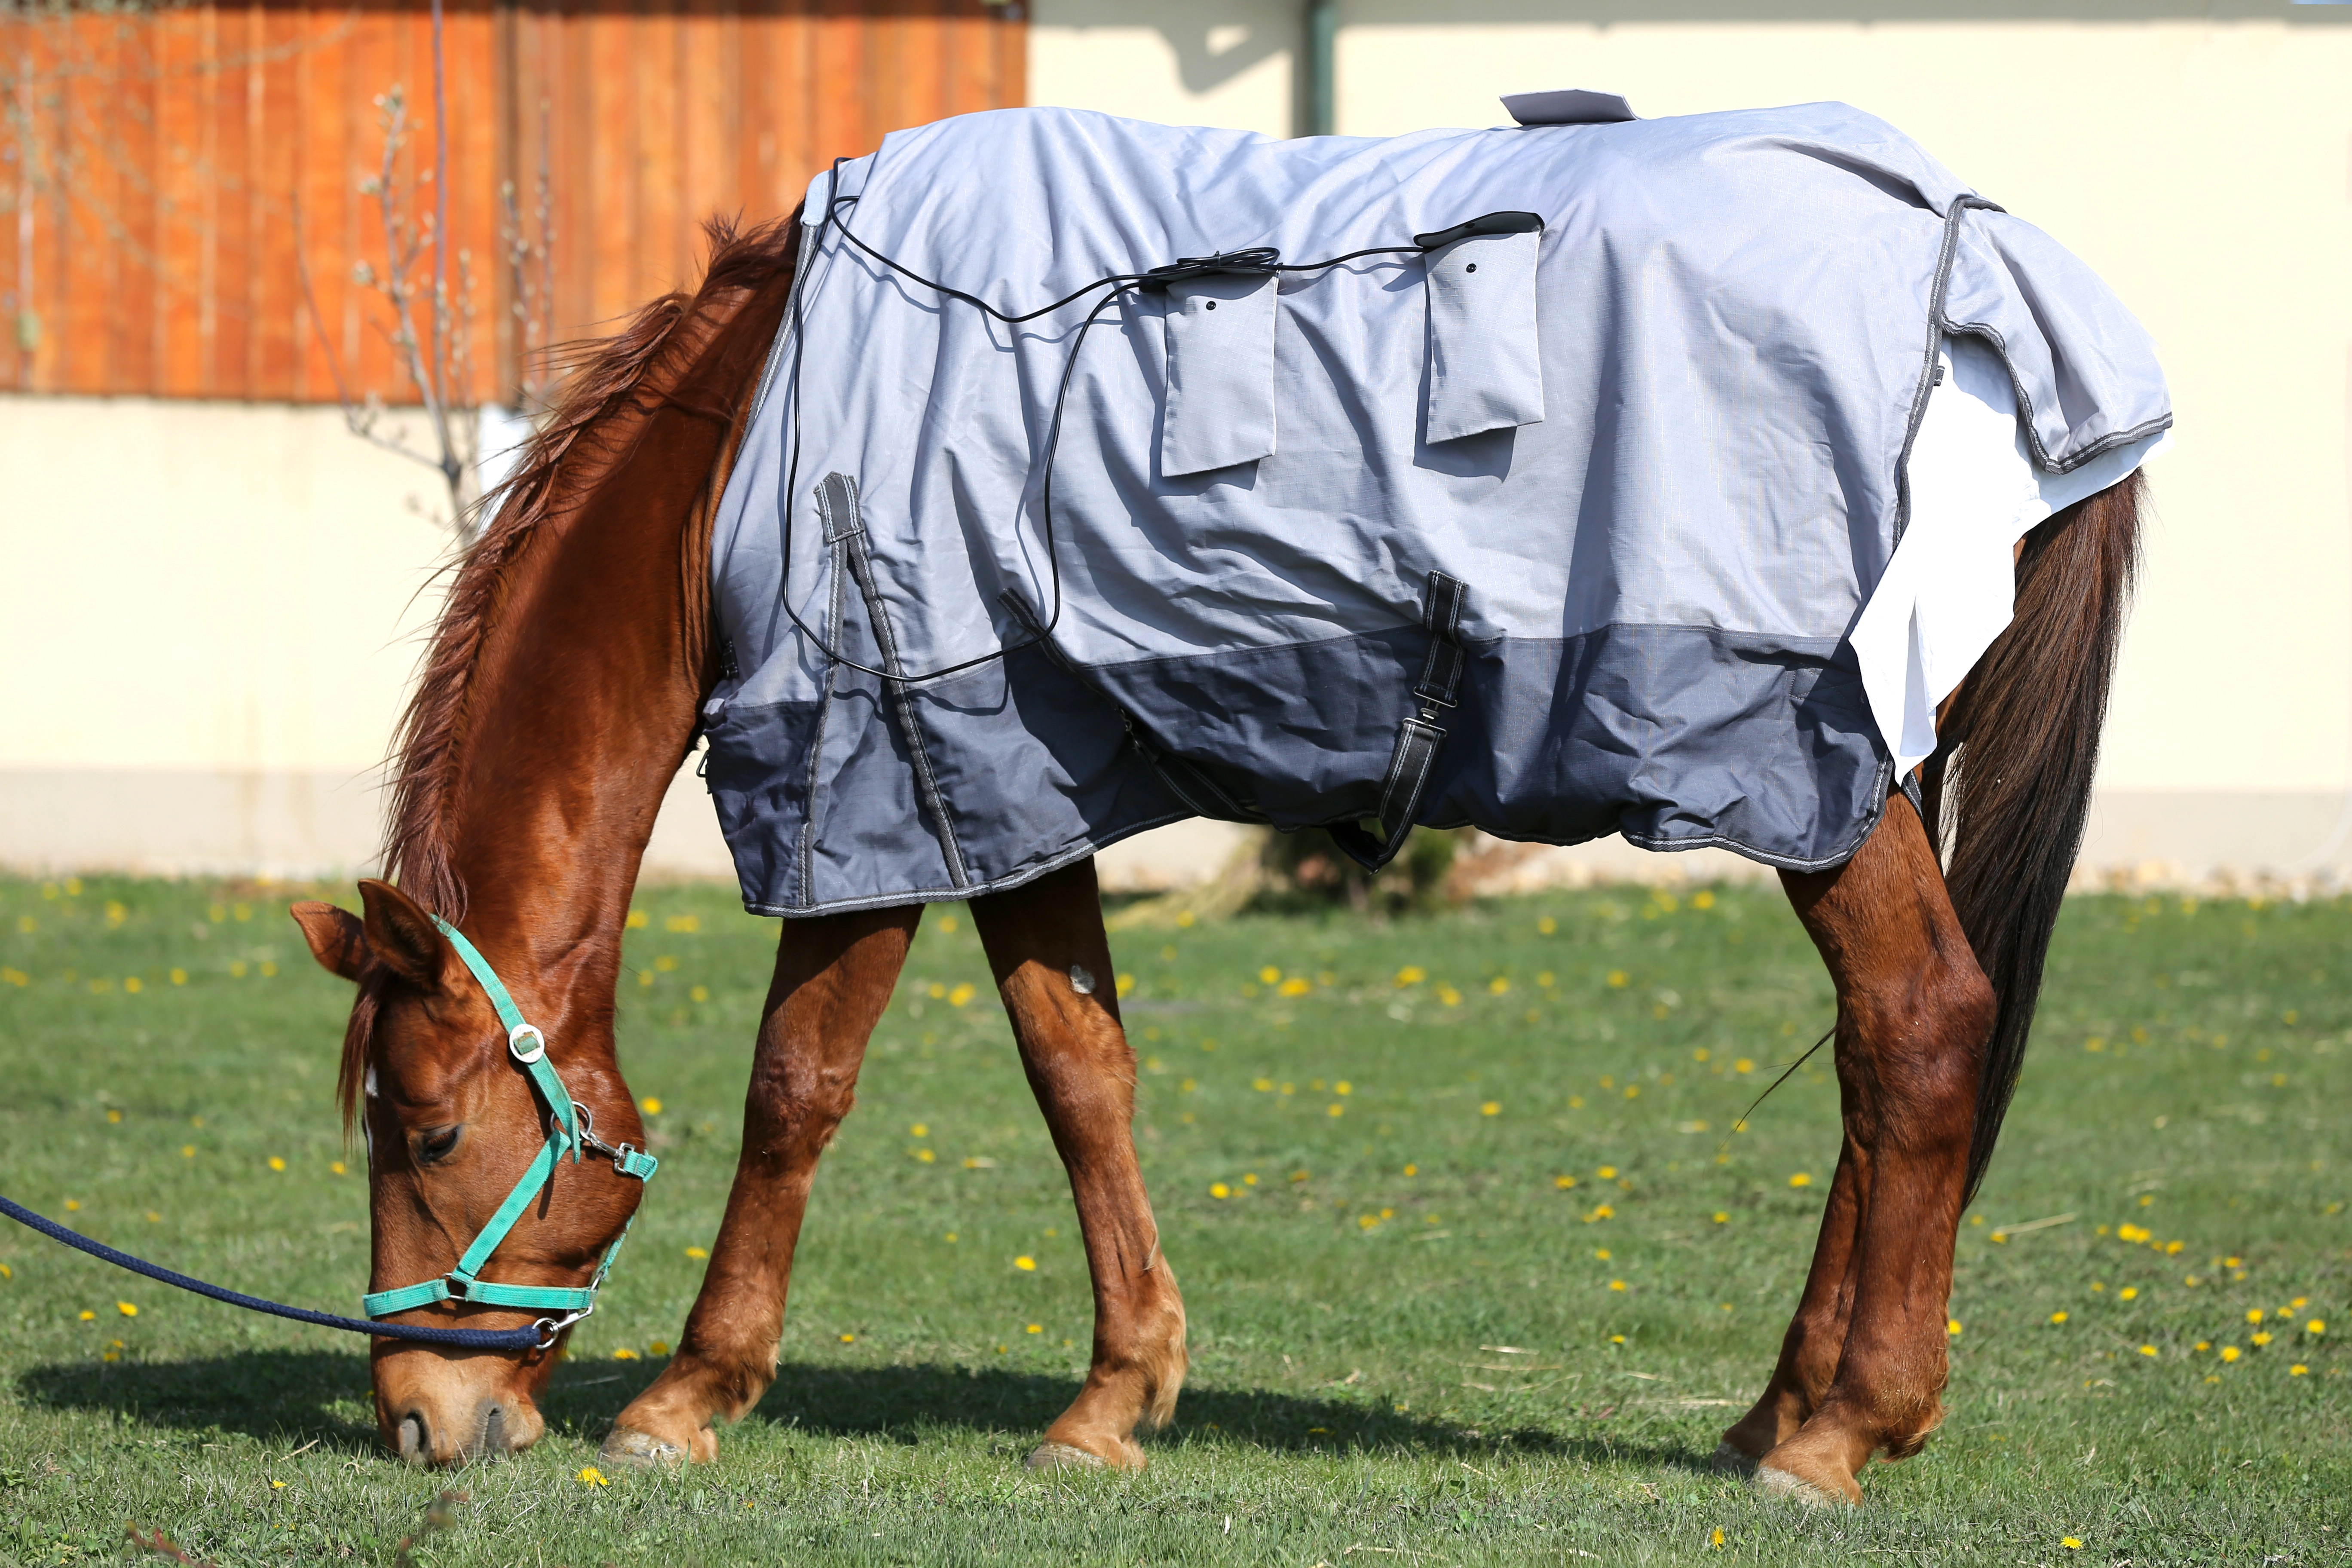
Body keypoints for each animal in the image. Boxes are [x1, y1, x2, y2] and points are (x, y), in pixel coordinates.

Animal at [289, 210, 2141, 1506]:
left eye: (433, 1130)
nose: (420, 1421)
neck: (766, 424)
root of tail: (1989, 275)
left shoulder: (866, 766)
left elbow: (795, 1085)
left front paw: (690, 1396)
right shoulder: (1004, 776)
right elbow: (1079, 1070)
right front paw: (1115, 1397)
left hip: (1807, 766)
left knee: (1919, 1025)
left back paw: (1843, 1431)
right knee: (1875, 1072)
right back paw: (1783, 1404)